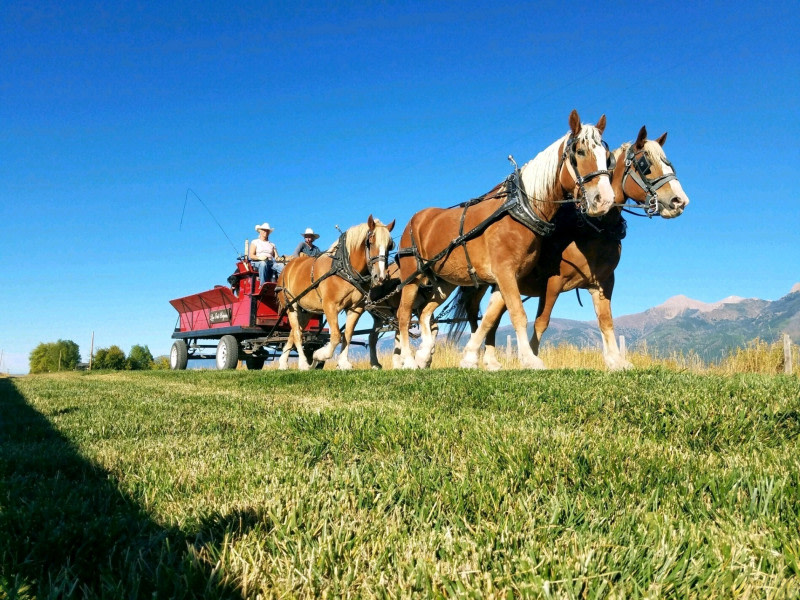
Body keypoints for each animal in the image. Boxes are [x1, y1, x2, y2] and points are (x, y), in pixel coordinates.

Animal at [276, 215, 395, 370]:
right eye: (370, 241)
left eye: (390, 245)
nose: (380, 276)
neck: (345, 269)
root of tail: (288, 266)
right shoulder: (330, 306)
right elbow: (337, 335)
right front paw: (318, 355)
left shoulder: (356, 308)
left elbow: (348, 334)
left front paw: (343, 362)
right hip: (291, 305)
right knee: (296, 333)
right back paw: (303, 363)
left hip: (306, 310)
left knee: (293, 333)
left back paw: (283, 362)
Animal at [394, 109, 616, 370]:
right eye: (580, 152)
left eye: (607, 157)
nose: (605, 200)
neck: (520, 208)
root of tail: (416, 219)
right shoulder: (505, 273)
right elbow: (518, 314)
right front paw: (529, 359)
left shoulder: (505, 279)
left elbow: (490, 319)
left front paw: (472, 358)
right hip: (411, 278)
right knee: (404, 315)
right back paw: (408, 359)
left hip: (443, 282)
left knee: (425, 312)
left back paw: (424, 352)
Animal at [454, 126, 690, 371]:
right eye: (645, 164)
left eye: (669, 163)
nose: (679, 201)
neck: (591, 229)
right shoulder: (553, 282)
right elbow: (541, 322)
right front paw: (532, 356)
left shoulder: (603, 282)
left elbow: (606, 321)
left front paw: (615, 360)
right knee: (476, 314)